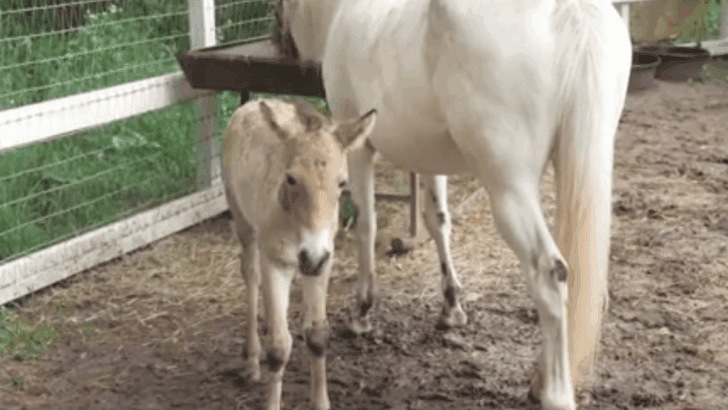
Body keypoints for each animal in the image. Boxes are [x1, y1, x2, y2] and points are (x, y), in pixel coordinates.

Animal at [221, 97, 377, 410]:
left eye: (343, 183)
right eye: (291, 178)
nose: (311, 256)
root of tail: (249, 104)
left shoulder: (324, 260)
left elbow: (317, 336)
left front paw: (321, 402)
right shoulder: (275, 262)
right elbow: (279, 346)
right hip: (242, 220)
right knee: (251, 276)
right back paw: (251, 361)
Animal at [277, 0, 632, 409]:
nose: (282, 40)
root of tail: (572, 12)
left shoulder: (358, 151)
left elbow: (366, 224)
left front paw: (362, 311)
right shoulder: (431, 160)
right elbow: (438, 221)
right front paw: (451, 307)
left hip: (510, 189)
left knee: (550, 272)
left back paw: (554, 391)